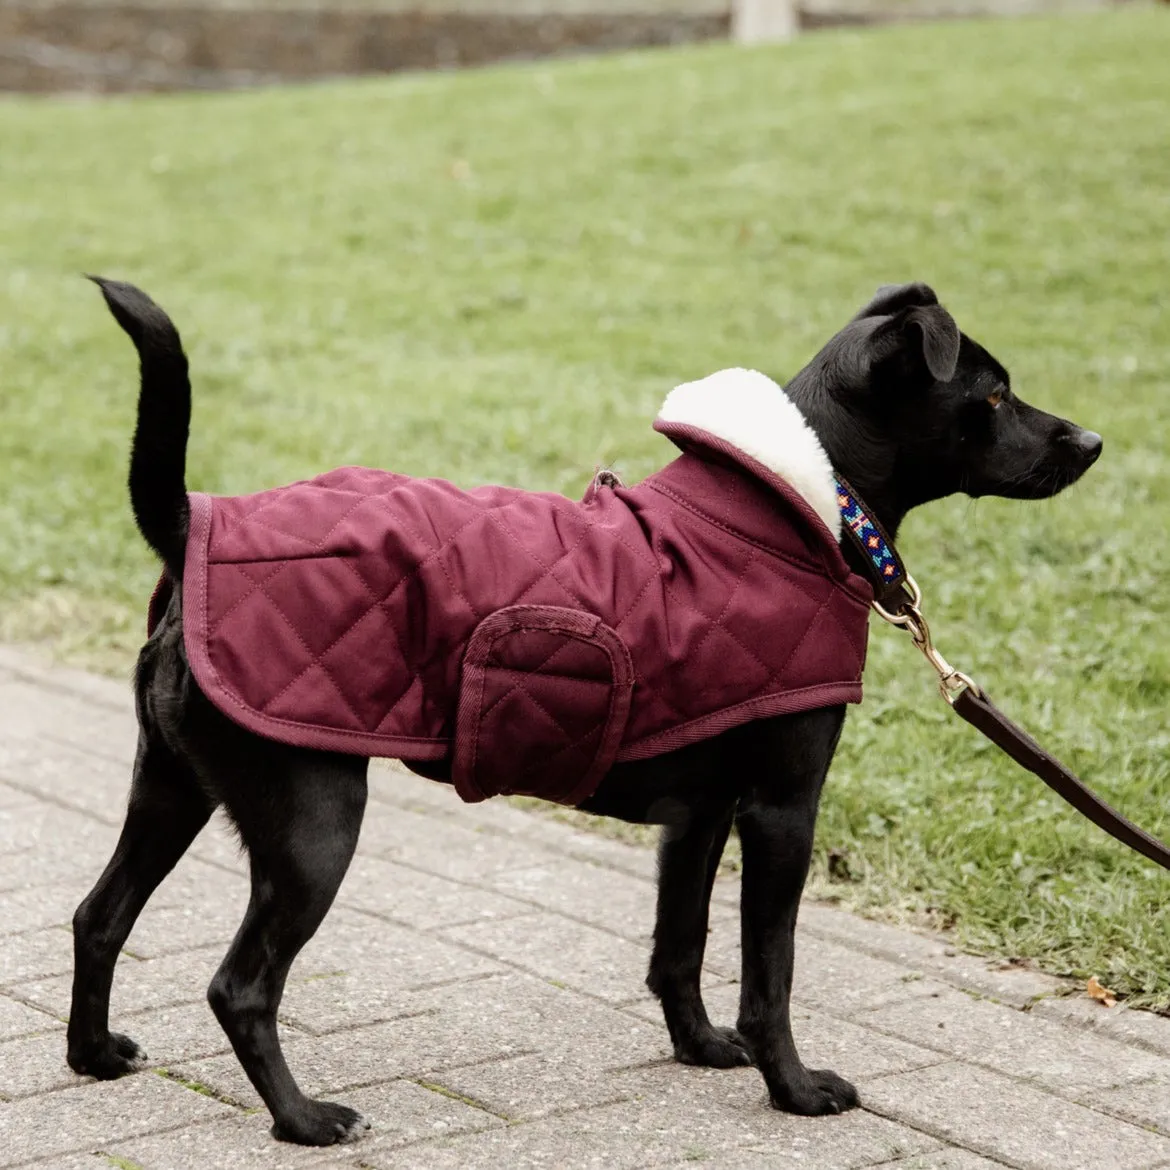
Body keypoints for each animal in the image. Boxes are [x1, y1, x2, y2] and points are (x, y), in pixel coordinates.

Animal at [68, 280, 1099, 1141]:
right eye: (994, 397)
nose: (1090, 443)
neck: (800, 502)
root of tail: (193, 524)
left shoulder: (701, 815)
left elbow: (679, 945)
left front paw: (700, 1047)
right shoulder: (781, 813)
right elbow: (770, 975)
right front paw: (795, 1090)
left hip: (173, 788)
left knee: (97, 916)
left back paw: (94, 1054)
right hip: (314, 823)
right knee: (239, 986)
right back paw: (303, 1119)